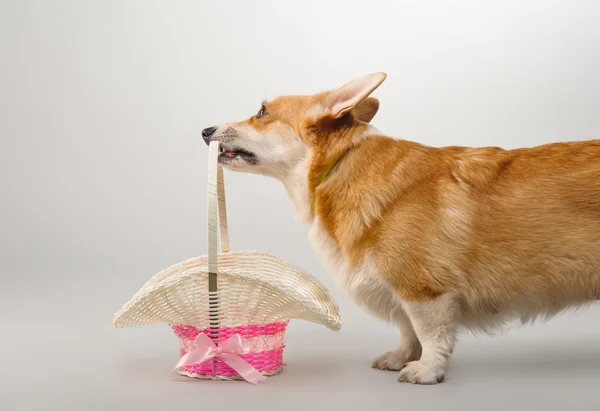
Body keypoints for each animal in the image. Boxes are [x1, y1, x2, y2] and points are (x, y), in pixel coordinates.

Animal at [202, 72, 600, 384]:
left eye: (262, 112)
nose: (205, 130)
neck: (340, 168)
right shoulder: (402, 292)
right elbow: (408, 330)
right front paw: (400, 358)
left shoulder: (423, 290)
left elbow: (429, 332)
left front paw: (426, 370)